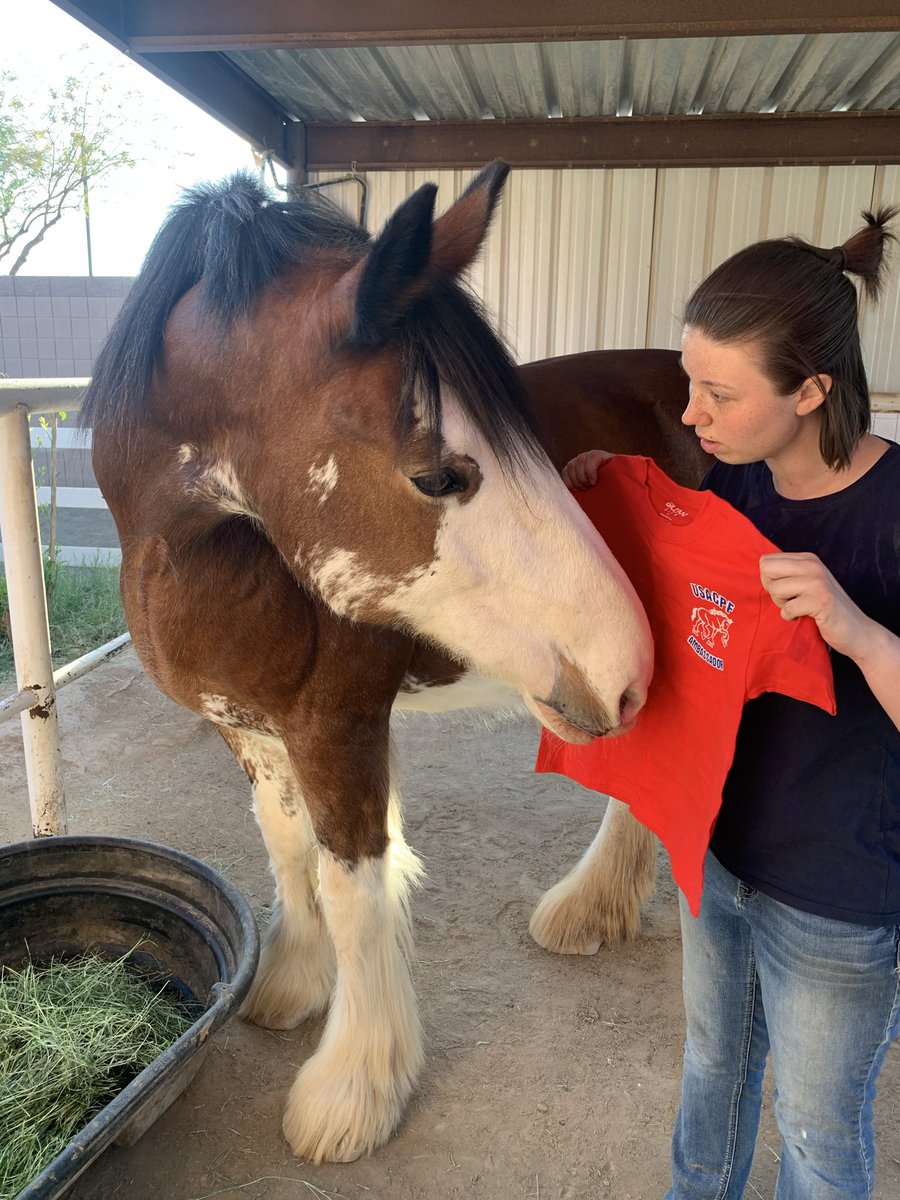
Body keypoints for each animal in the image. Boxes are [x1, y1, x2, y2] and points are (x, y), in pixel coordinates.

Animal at [81, 163, 703, 1164]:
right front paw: (290, 982)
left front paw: (351, 1092)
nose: (625, 664)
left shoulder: (338, 728)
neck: (195, 553)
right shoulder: (246, 729)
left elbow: (352, 886)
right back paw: (593, 910)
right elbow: (285, 843)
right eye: (437, 477)